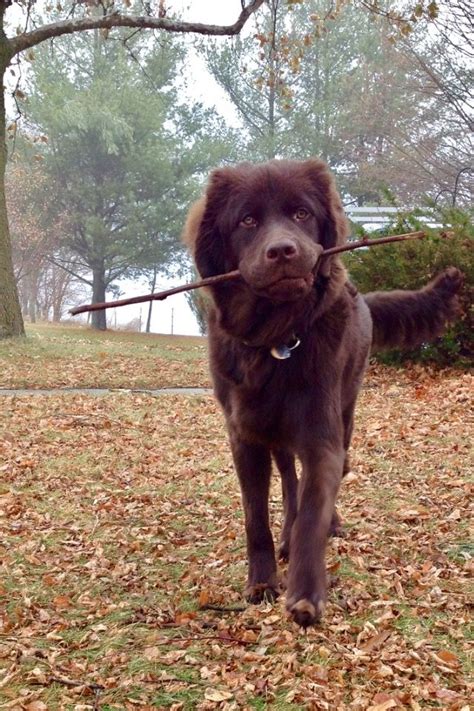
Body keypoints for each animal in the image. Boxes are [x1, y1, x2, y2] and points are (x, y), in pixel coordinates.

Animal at [183, 157, 462, 628]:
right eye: (247, 220)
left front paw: (305, 593)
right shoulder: (245, 438)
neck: (277, 338)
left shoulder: (321, 437)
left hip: (346, 410)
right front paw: (262, 581)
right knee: (290, 481)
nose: (282, 251)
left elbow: (314, 510)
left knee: (331, 474)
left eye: (302, 214)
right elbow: (256, 515)